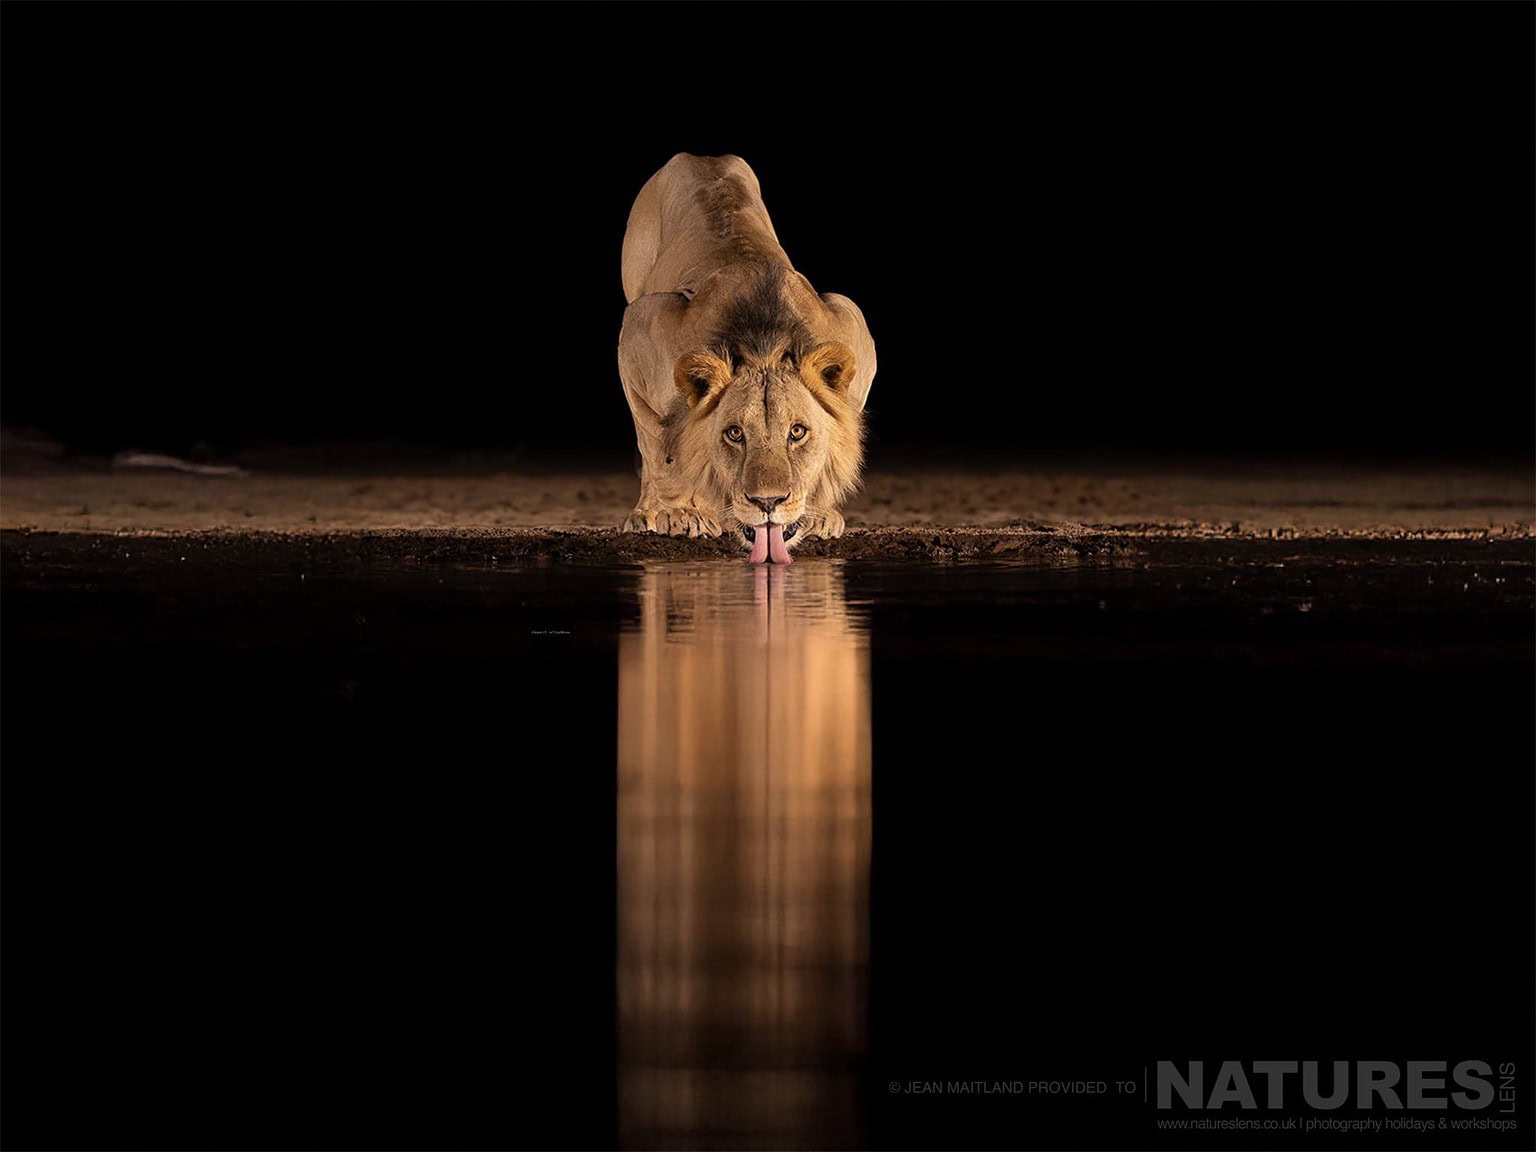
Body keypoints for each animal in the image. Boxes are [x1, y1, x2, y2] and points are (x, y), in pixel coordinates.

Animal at [617, 154, 876, 563]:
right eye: (735, 434)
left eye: (797, 432)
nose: (767, 502)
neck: (763, 346)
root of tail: (702, 157)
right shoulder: (638, 329)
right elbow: (658, 448)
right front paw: (678, 514)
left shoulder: (851, 322)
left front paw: (818, 514)